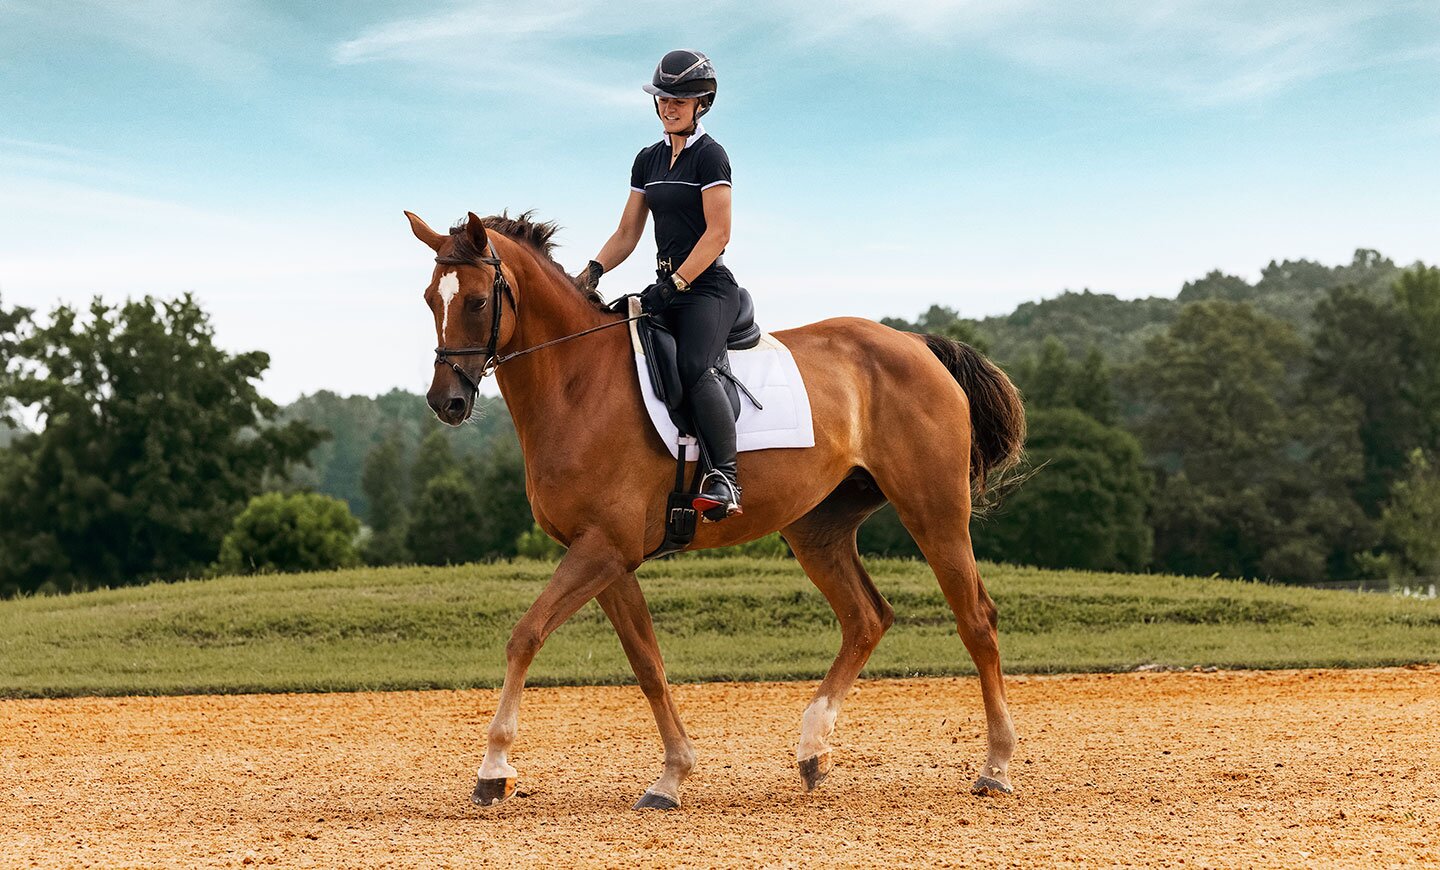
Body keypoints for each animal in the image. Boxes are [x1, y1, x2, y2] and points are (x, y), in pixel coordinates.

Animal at [405, 209, 1027, 810]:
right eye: (431, 299)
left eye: (477, 301)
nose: (445, 402)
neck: (576, 382)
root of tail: (916, 344)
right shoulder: (608, 559)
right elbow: (647, 664)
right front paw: (672, 776)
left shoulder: (602, 548)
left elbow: (526, 636)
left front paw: (493, 769)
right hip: (817, 530)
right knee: (866, 618)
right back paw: (813, 750)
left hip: (933, 511)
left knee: (977, 620)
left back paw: (996, 767)